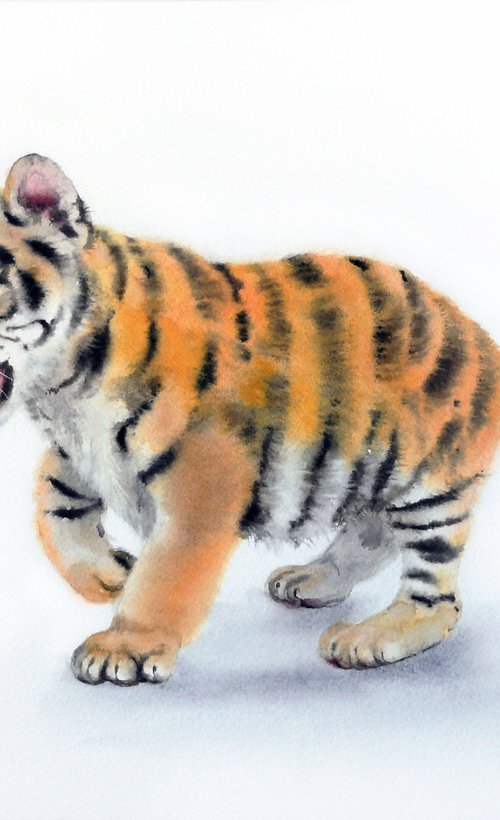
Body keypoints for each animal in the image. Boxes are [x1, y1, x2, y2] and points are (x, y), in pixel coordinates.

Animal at [0, 153, 498, 686]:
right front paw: (107, 574)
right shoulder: (82, 447)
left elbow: (165, 575)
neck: (61, 386)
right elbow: (53, 501)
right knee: (373, 530)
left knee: (439, 599)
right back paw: (312, 578)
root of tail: (479, 333)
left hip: (434, 491)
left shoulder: (202, 483)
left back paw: (364, 639)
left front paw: (124, 647)